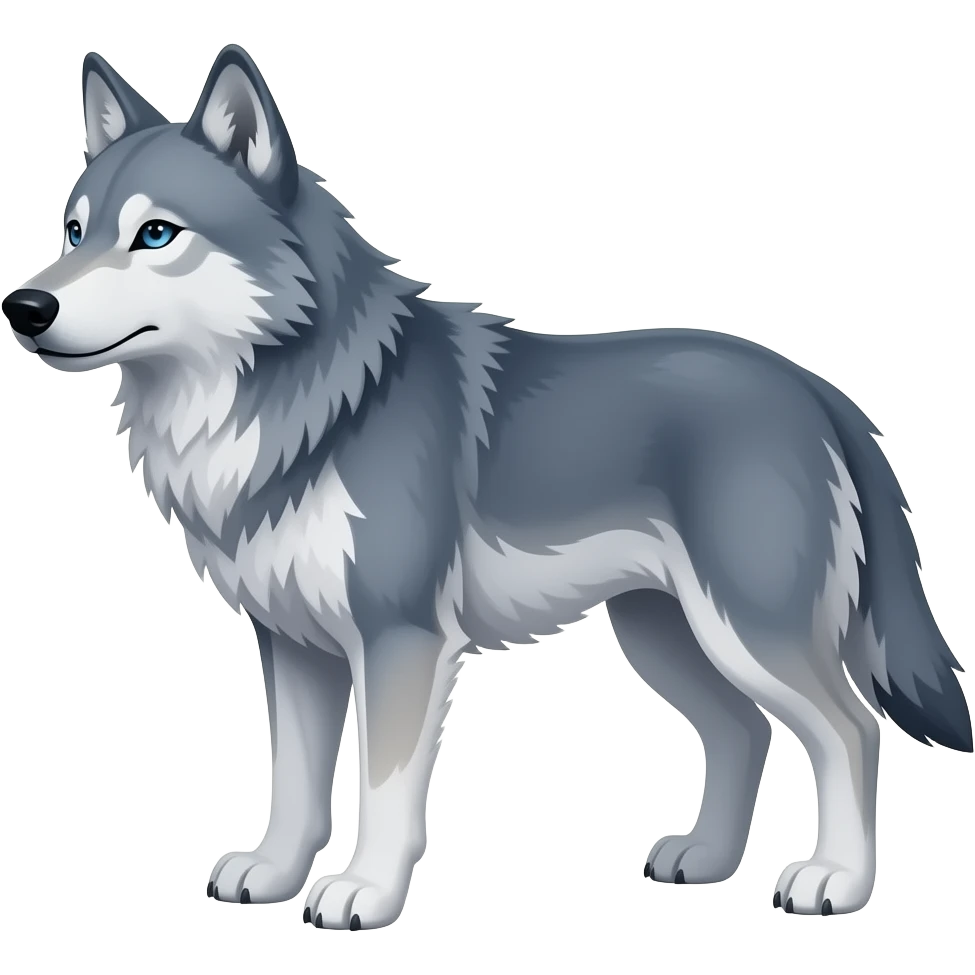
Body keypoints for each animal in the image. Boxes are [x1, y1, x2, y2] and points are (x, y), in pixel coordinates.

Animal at [2, 44, 971, 929]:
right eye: (74, 231)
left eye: (156, 235)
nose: (24, 307)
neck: (303, 402)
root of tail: (815, 389)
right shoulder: (294, 644)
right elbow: (295, 781)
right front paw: (274, 874)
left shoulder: (399, 638)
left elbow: (383, 788)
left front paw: (362, 892)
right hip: (665, 634)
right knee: (744, 730)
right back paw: (701, 859)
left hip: (746, 631)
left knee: (850, 729)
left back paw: (834, 881)